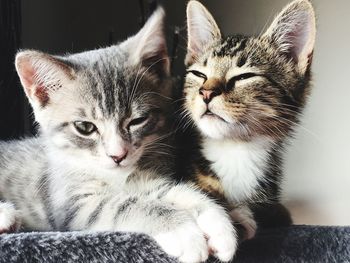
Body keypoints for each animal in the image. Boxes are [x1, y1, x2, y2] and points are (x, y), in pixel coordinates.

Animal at [0, 8, 237, 263]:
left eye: (137, 121)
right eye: (85, 127)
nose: (118, 155)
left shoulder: (146, 181)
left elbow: (175, 191)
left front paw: (217, 222)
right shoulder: (72, 203)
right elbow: (124, 206)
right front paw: (183, 231)